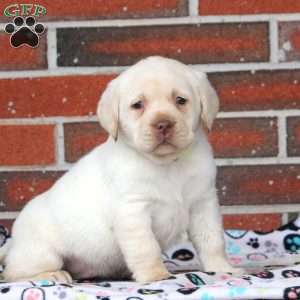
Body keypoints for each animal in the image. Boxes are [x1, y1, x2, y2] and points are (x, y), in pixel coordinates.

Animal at [1, 56, 241, 284]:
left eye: (180, 100)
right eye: (137, 105)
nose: (163, 124)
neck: (167, 164)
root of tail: (14, 243)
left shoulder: (204, 204)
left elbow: (212, 240)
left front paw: (223, 269)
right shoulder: (133, 211)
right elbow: (146, 248)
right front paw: (155, 275)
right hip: (43, 253)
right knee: (13, 273)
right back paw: (52, 275)